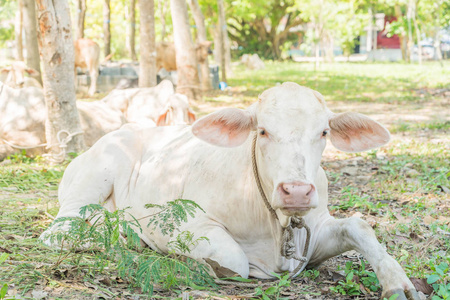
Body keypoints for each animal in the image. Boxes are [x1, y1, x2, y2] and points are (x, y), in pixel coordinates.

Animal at [41, 82, 418, 300]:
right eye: (262, 131)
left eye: (324, 132)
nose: (296, 191)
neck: (274, 225)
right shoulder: (188, 225)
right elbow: (234, 261)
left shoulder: (316, 232)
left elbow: (359, 225)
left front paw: (398, 282)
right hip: (94, 176)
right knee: (61, 231)